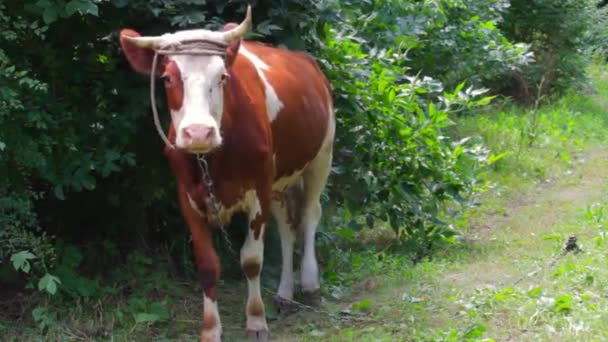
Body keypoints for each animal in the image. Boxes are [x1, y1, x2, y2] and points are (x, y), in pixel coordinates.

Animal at [119, 6, 334, 342]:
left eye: (221, 77)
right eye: (167, 77)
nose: (198, 132)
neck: (213, 160)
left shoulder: (258, 191)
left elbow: (252, 260)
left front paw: (256, 320)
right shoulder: (188, 197)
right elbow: (208, 266)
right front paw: (210, 328)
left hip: (320, 157)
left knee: (310, 215)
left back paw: (310, 284)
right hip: (280, 180)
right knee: (287, 227)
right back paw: (285, 293)